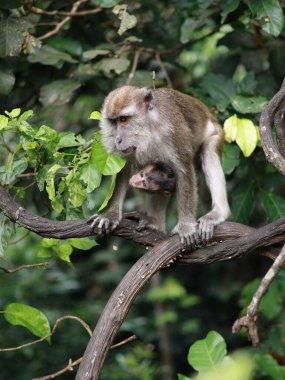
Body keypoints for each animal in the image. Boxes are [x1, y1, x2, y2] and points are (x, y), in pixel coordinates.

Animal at [90, 84, 230, 248]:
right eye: (113, 122)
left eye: (123, 119)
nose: (117, 140)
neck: (149, 126)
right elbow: (123, 169)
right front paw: (110, 215)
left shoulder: (174, 131)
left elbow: (183, 170)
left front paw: (186, 226)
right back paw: (156, 224)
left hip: (216, 133)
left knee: (209, 154)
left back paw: (218, 213)